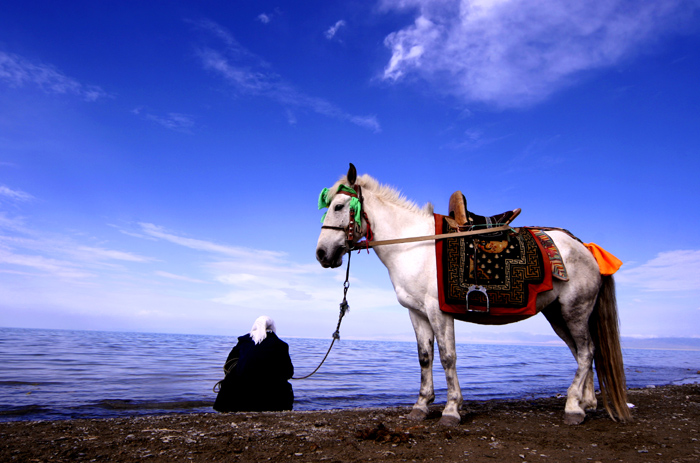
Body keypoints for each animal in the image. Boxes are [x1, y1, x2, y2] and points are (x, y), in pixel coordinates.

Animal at [314, 164, 632, 428]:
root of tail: (585, 247)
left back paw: (573, 407)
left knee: (586, 351)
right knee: (582, 353)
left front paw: (451, 410)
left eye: (339, 206)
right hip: (557, 314)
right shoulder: (417, 313)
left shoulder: (438, 311)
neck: (414, 246)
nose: (321, 253)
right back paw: (586, 403)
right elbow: (425, 357)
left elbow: (447, 357)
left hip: (575, 311)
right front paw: (421, 405)